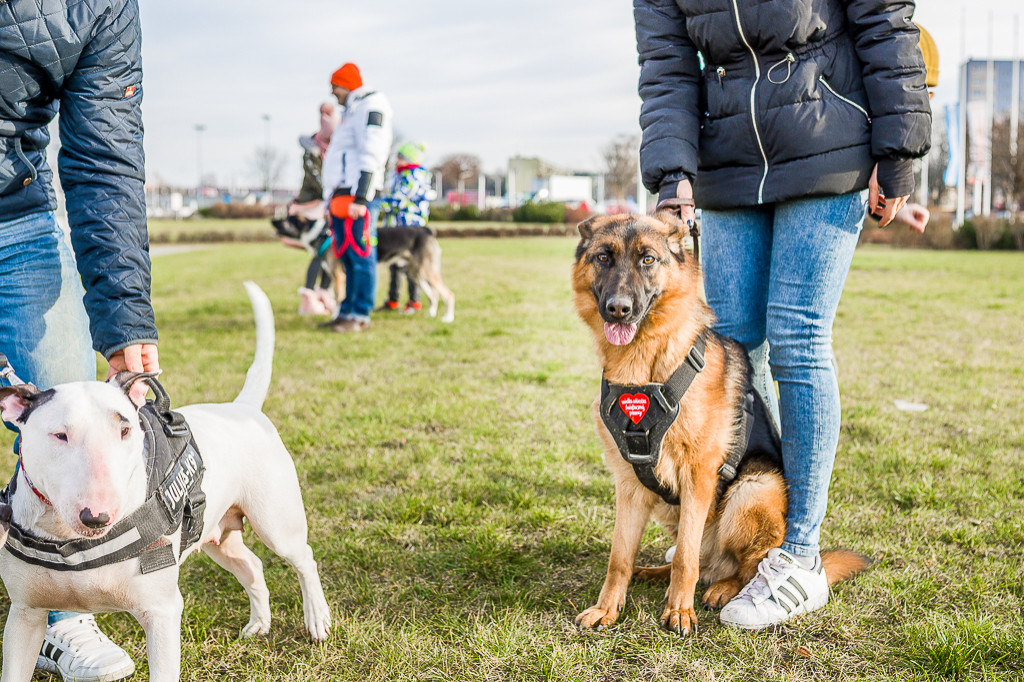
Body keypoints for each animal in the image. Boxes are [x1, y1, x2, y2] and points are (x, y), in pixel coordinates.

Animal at [0, 278, 329, 675]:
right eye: (60, 435)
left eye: (125, 429)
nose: (98, 516)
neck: (72, 543)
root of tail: (242, 408)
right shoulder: (25, 617)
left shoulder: (162, 612)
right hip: (218, 533)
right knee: (251, 565)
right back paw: (259, 624)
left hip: (277, 521)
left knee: (303, 557)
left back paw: (317, 620)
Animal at [270, 215, 454, 321]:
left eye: (286, 218)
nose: (271, 220)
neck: (323, 235)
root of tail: (426, 230)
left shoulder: (339, 276)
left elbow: (339, 299)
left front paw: (336, 317)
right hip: (416, 273)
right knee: (434, 295)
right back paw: (431, 314)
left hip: (427, 272)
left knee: (448, 294)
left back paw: (447, 318)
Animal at [569, 210, 864, 630]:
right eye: (604, 257)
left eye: (648, 259)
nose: (618, 308)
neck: (646, 367)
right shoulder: (629, 485)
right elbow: (619, 557)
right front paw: (608, 607)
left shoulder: (699, 475)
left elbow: (686, 559)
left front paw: (680, 610)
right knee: (694, 558)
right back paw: (654, 572)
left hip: (752, 489)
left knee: (739, 563)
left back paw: (727, 589)